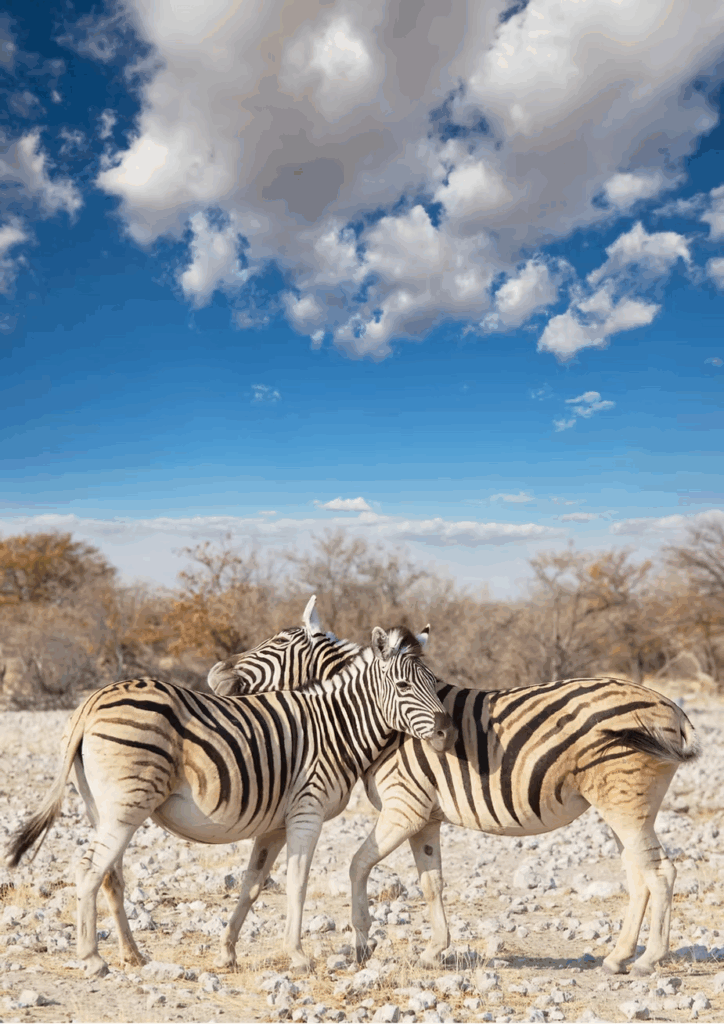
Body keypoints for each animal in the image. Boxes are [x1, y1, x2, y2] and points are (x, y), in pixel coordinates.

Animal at [4, 621, 455, 978]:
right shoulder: (306, 812)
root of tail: (92, 700)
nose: (446, 733)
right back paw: (93, 959)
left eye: (435, 685)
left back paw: (134, 955)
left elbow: (252, 885)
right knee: (88, 869)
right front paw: (298, 957)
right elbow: (298, 883)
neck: (335, 726)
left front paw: (227, 953)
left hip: (104, 807)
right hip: (125, 805)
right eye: (403, 686)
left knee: (110, 875)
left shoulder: (276, 824)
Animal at [210, 608, 701, 977]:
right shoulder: (425, 816)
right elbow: (432, 882)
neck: (386, 723)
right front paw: (435, 951)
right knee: (639, 874)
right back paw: (618, 957)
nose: (215, 675)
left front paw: (363, 944)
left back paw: (648, 961)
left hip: (625, 802)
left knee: (661, 873)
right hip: (621, 805)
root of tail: (671, 707)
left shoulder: (404, 807)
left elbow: (357, 866)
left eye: (275, 642)